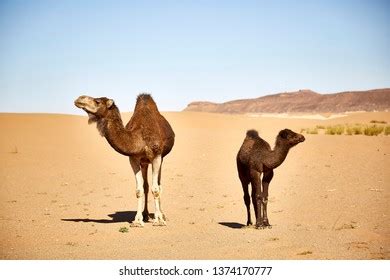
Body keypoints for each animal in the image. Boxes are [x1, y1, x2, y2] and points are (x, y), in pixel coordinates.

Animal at [74, 93, 175, 226]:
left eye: (97, 101)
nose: (79, 99)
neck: (139, 138)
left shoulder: (157, 156)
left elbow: (156, 189)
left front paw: (159, 220)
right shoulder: (133, 158)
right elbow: (139, 190)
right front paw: (137, 221)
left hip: (161, 158)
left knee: (159, 185)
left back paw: (162, 215)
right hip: (144, 162)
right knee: (146, 186)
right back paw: (145, 214)